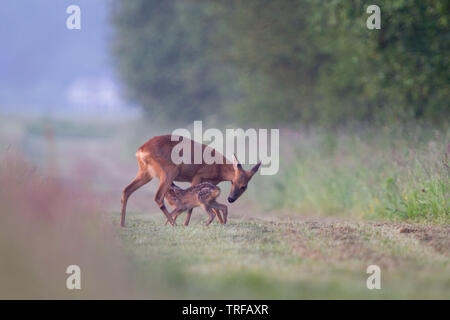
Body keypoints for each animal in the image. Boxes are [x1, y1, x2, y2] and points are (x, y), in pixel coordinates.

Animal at [120, 135, 260, 228]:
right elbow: (192, 203)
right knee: (158, 197)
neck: (219, 168)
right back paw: (174, 223)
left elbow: (214, 206)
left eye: (244, 187)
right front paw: (186, 224)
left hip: (145, 172)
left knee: (126, 190)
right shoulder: (197, 176)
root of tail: (141, 150)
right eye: (233, 182)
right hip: (169, 171)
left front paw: (222, 223)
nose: (231, 199)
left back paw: (122, 224)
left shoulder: (211, 184)